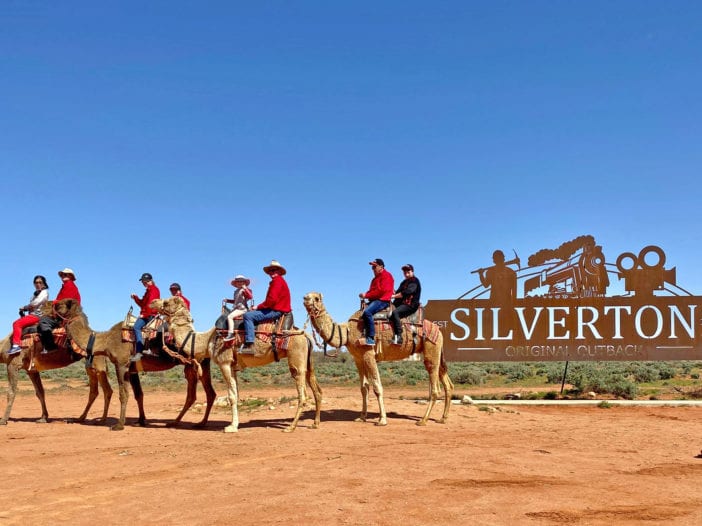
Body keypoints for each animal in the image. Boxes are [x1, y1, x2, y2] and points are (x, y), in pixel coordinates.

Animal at [54, 300, 216, 432]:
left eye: (61, 304)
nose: (52, 305)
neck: (106, 340)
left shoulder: (121, 364)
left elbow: (123, 394)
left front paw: (119, 425)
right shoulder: (132, 370)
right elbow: (139, 394)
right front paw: (141, 421)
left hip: (196, 365)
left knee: (201, 394)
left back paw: (192, 423)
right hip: (196, 366)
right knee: (202, 394)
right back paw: (185, 422)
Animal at [155, 294, 324, 436]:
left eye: (166, 302)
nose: (153, 302)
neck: (208, 340)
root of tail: (305, 335)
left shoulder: (224, 362)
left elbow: (231, 396)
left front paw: (231, 427)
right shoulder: (233, 366)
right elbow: (236, 394)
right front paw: (234, 424)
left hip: (296, 359)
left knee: (302, 393)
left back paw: (291, 427)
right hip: (308, 362)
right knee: (316, 390)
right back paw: (315, 424)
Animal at [304, 292, 456, 428]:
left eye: (316, 298)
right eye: (307, 295)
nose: (305, 298)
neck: (346, 332)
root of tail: (438, 330)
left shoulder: (368, 354)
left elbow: (377, 387)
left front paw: (382, 420)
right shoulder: (358, 358)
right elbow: (364, 387)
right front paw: (362, 417)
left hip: (431, 349)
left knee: (435, 387)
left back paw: (423, 420)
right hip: (436, 352)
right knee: (447, 383)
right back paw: (442, 418)